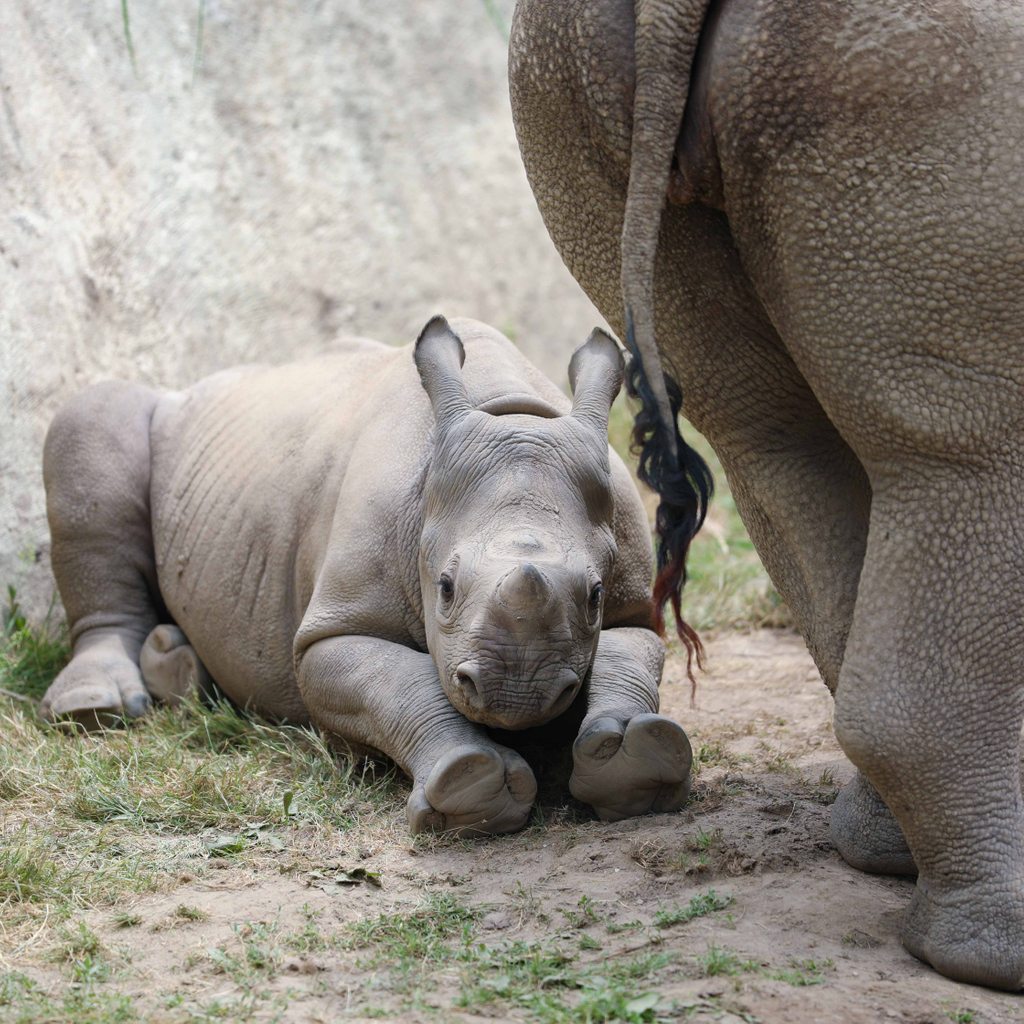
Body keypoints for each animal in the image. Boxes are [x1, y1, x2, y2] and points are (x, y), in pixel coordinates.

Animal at [39, 316, 693, 835]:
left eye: (595, 596)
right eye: (445, 588)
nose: (518, 695)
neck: (509, 413)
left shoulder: (636, 602)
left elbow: (628, 657)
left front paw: (636, 759)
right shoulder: (330, 630)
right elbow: (396, 682)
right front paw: (469, 787)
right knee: (90, 417)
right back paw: (92, 711)